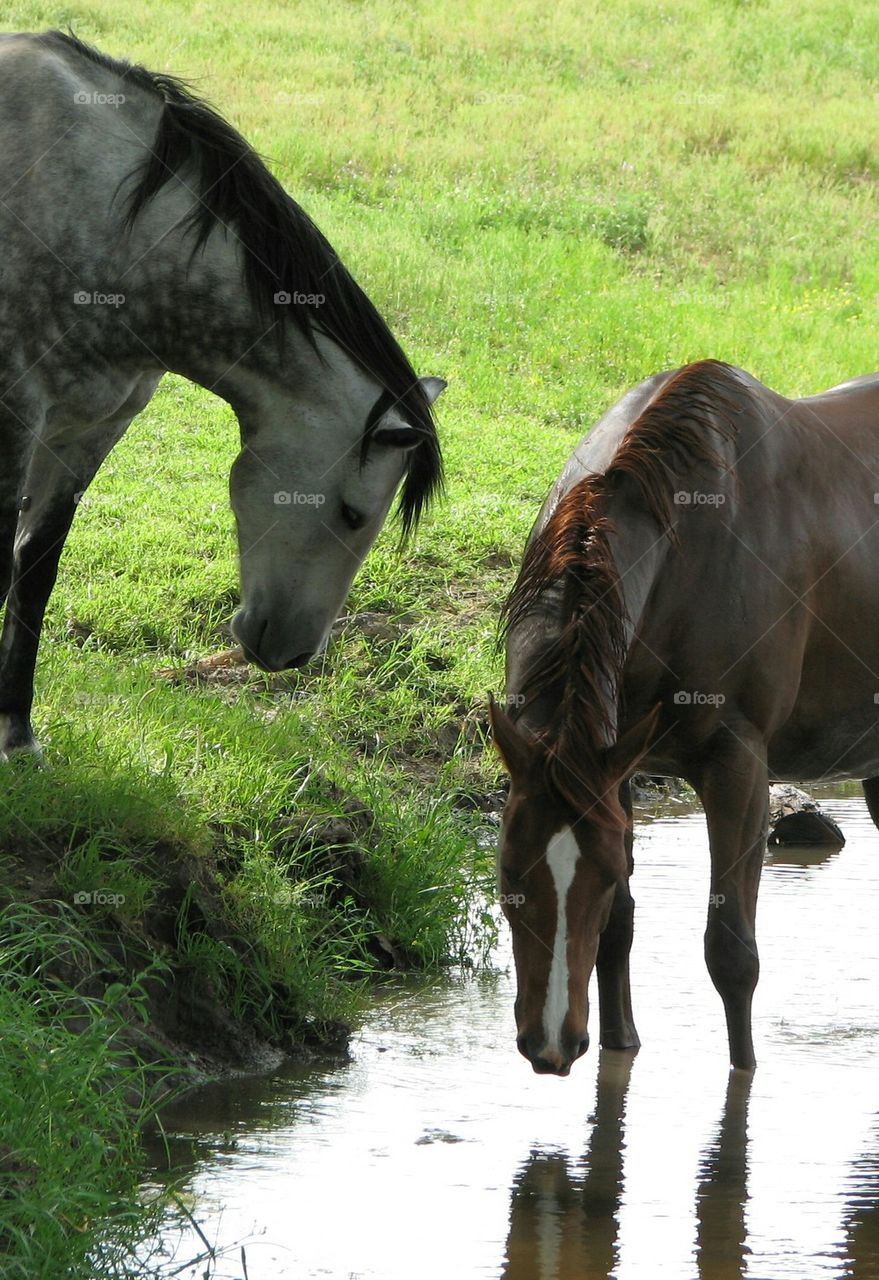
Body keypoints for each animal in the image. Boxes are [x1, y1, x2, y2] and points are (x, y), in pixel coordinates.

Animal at [0, 32, 442, 757]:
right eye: (352, 514)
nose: (295, 654)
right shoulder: (16, 418)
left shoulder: (87, 431)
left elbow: (33, 571)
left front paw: (17, 733)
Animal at [491, 366, 879, 1075]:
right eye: (508, 874)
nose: (552, 1044)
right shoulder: (614, 767)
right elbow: (619, 928)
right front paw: (619, 1043)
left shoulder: (739, 770)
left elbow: (731, 953)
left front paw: (743, 1074)